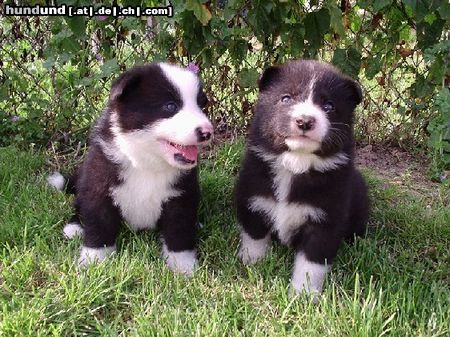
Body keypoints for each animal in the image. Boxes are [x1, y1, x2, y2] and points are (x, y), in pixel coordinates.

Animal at [48, 61, 214, 274]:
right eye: (170, 106)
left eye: (201, 106)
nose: (207, 132)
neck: (147, 163)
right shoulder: (99, 188)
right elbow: (99, 227)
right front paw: (93, 260)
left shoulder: (181, 196)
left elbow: (179, 233)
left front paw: (183, 267)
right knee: (79, 203)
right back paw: (74, 227)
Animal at [236, 59, 370, 294]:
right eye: (286, 98)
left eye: (329, 106)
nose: (305, 121)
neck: (295, 164)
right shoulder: (253, 200)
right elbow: (254, 235)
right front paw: (253, 263)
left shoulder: (325, 221)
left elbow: (311, 264)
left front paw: (303, 295)